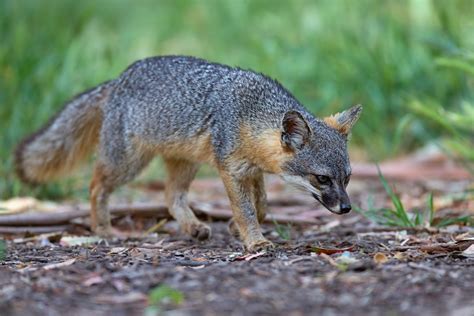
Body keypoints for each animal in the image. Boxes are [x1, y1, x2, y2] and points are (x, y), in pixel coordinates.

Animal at [14, 55, 362, 252]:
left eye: (347, 178)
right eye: (321, 179)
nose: (346, 208)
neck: (251, 111)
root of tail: (118, 80)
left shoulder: (251, 170)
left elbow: (261, 205)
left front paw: (235, 228)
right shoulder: (231, 170)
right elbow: (247, 210)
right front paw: (255, 241)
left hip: (186, 163)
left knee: (171, 197)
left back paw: (192, 227)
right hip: (128, 163)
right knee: (96, 185)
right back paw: (103, 228)